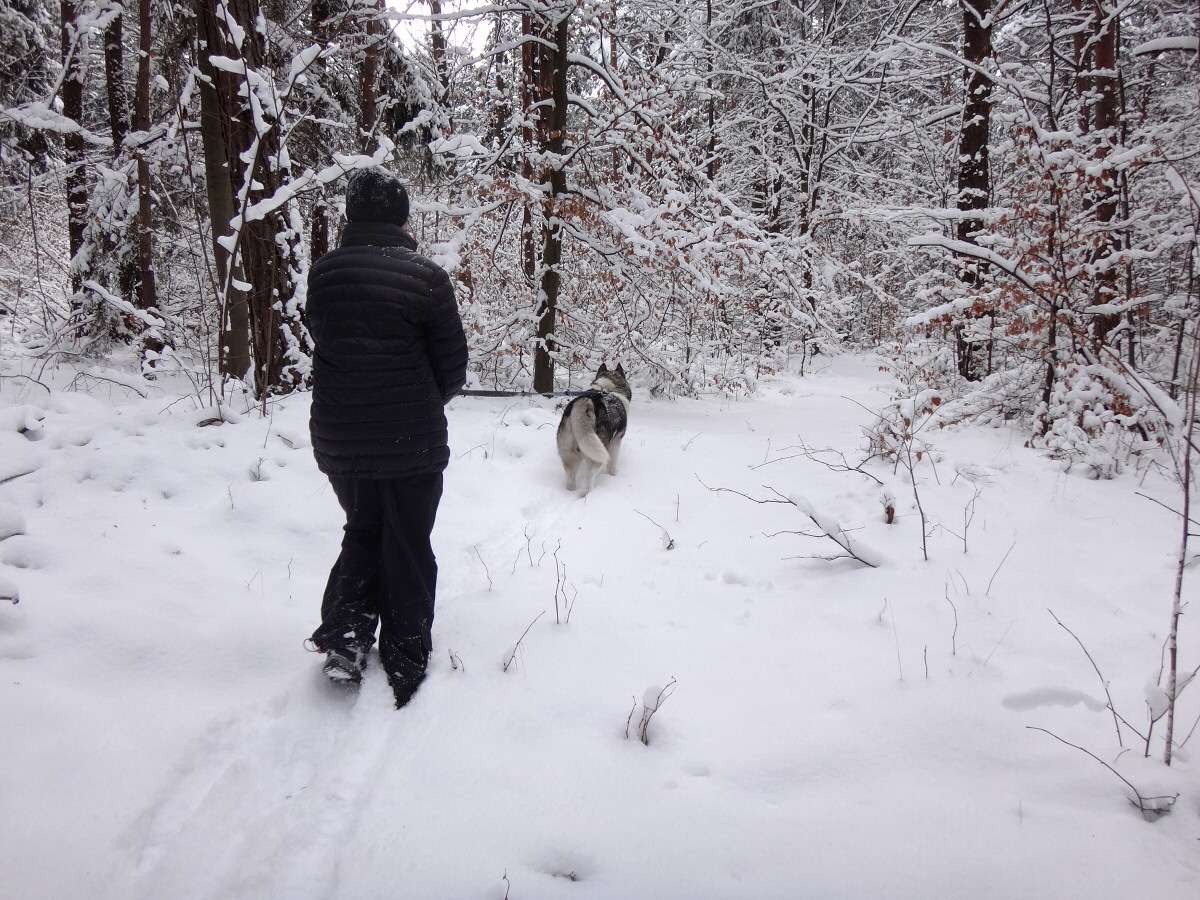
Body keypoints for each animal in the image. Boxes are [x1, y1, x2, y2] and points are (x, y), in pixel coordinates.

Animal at [556, 362, 633, 496]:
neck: (607, 389)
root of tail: (584, 402)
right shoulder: (616, 442)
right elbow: (612, 464)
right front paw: (612, 475)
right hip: (598, 454)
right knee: (589, 479)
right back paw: (584, 495)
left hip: (568, 454)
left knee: (570, 479)